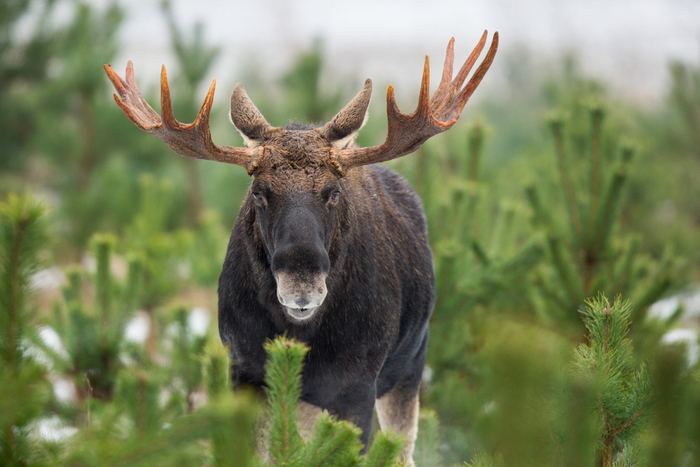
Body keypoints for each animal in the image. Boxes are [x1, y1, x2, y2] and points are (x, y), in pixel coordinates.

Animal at [104, 31, 498, 462]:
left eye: (333, 192)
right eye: (259, 192)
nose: (302, 284)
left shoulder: (359, 382)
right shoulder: (245, 369)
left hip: (409, 364)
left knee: (402, 451)